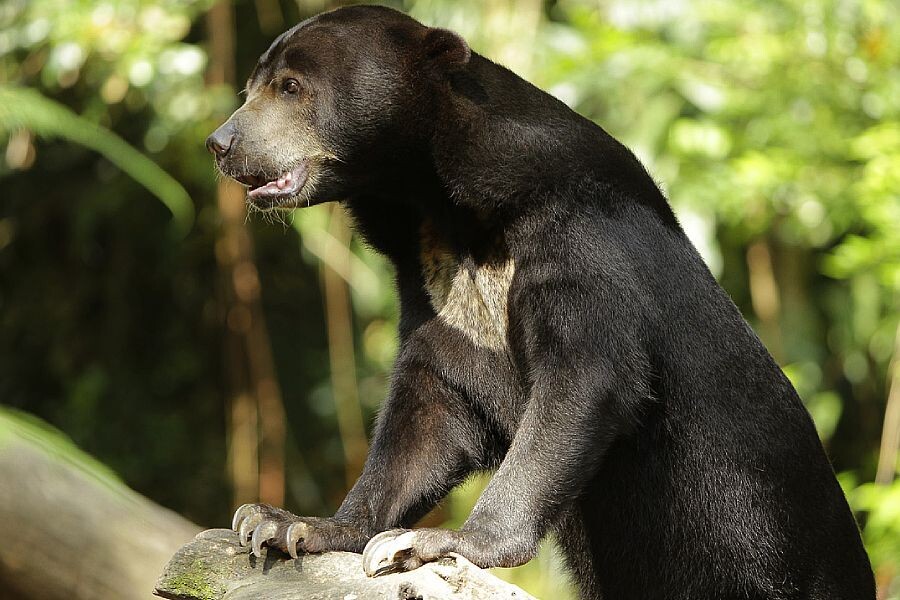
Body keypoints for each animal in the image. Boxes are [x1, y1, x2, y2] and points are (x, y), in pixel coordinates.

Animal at [206, 5, 875, 599]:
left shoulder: (579, 240)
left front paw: (432, 543)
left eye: (291, 87)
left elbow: (585, 379)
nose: (221, 143)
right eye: (250, 87)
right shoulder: (434, 284)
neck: (441, 204)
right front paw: (286, 525)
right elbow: (432, 411)